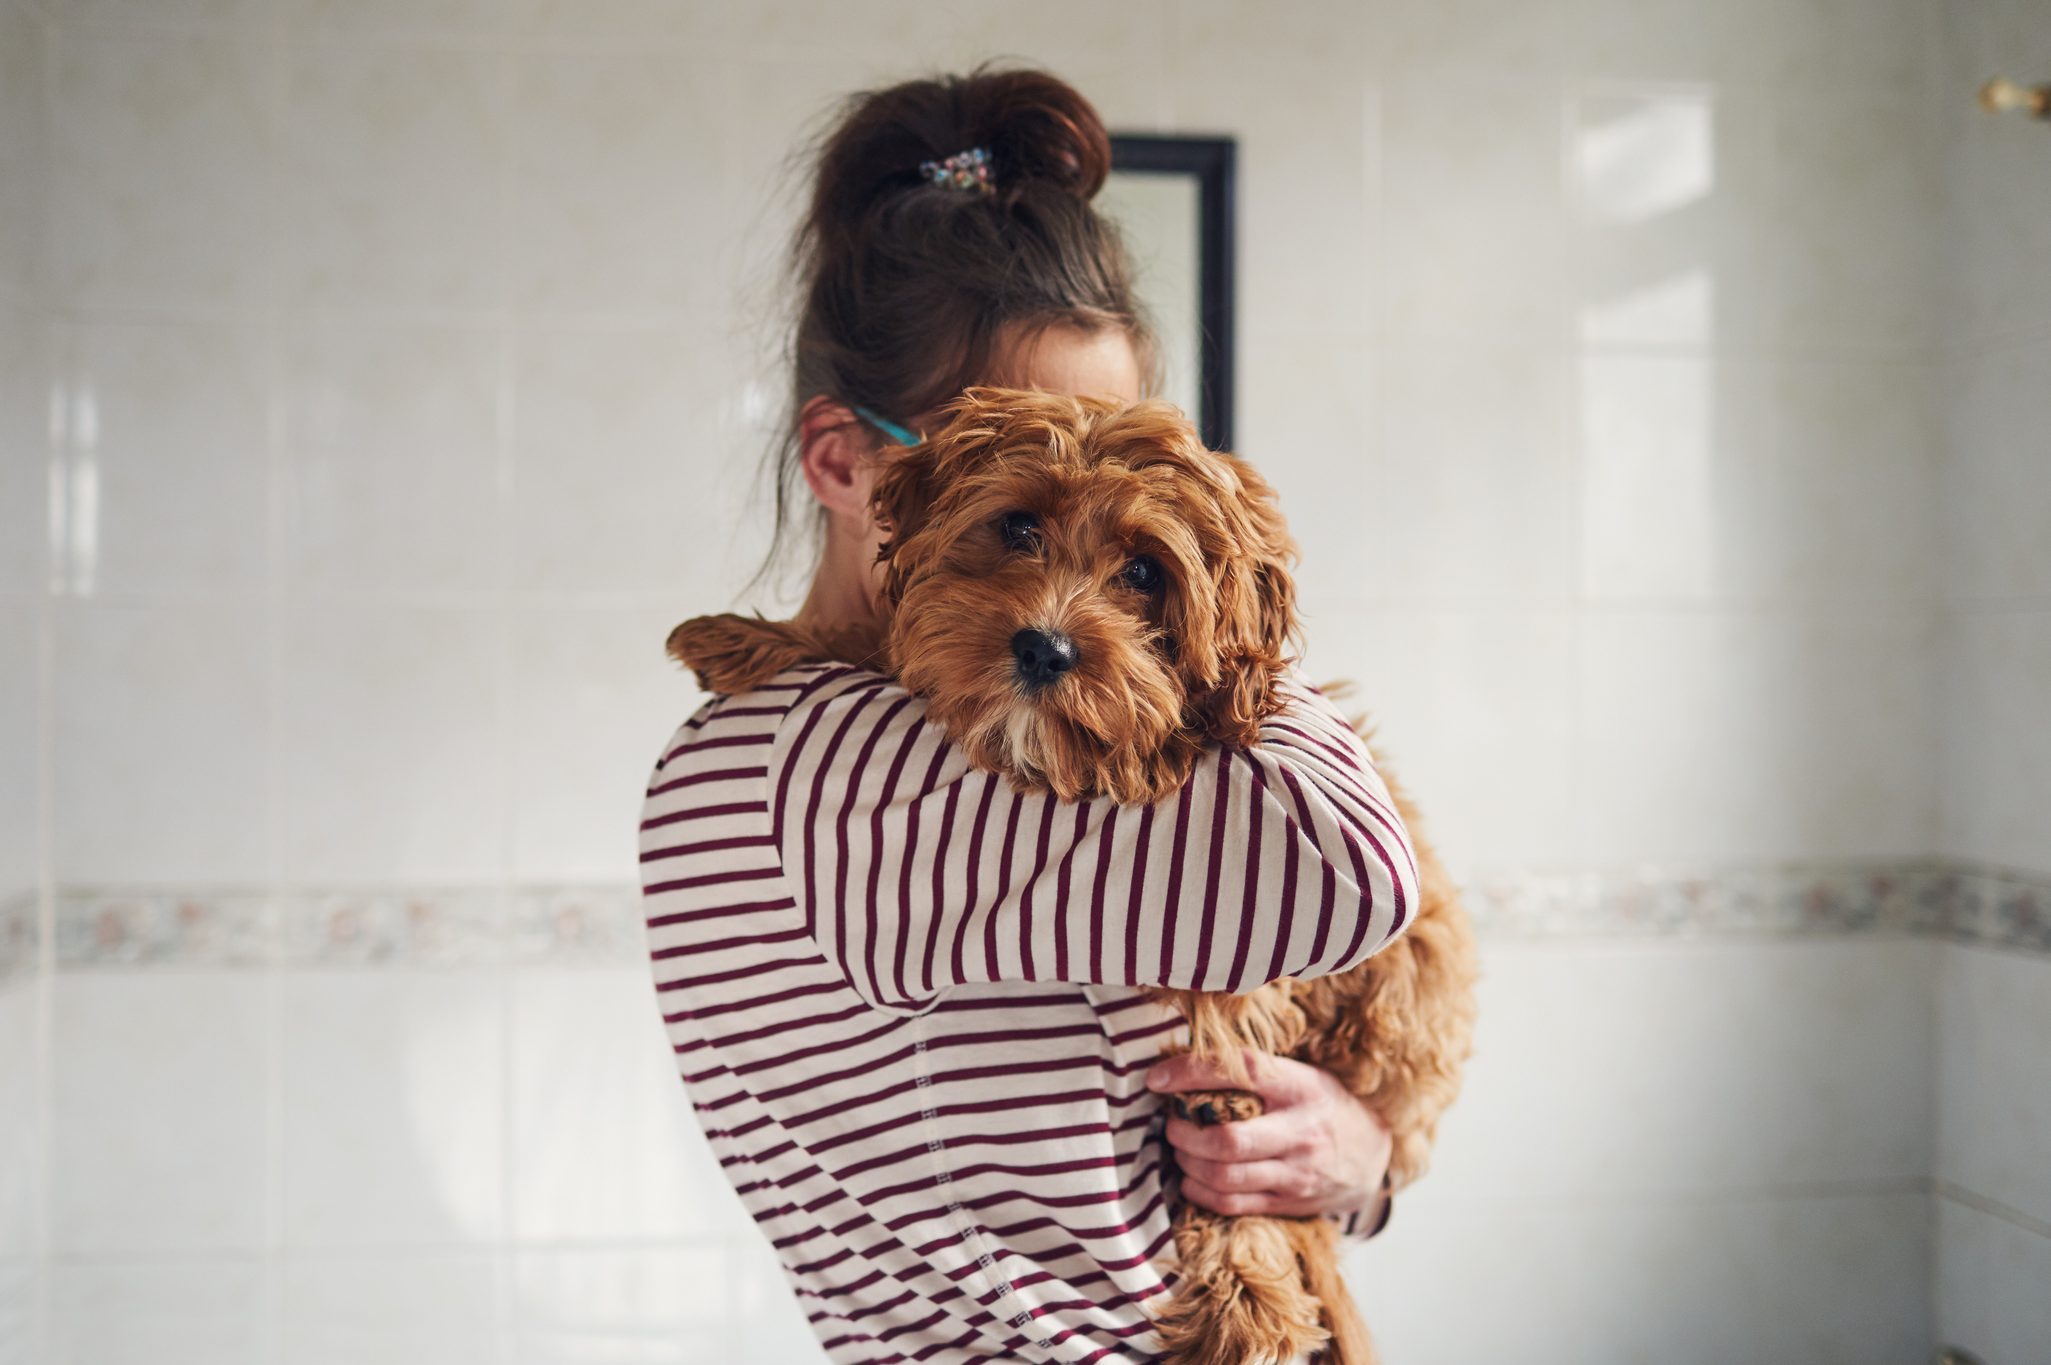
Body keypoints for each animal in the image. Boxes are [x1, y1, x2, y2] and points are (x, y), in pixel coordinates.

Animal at [672, 385, 1476, 1360]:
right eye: (1017, 525)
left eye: (1143, 572)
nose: (1043, 649)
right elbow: (890, 635)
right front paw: (746, 634)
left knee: (1252, 1173)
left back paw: (1244, 1300)